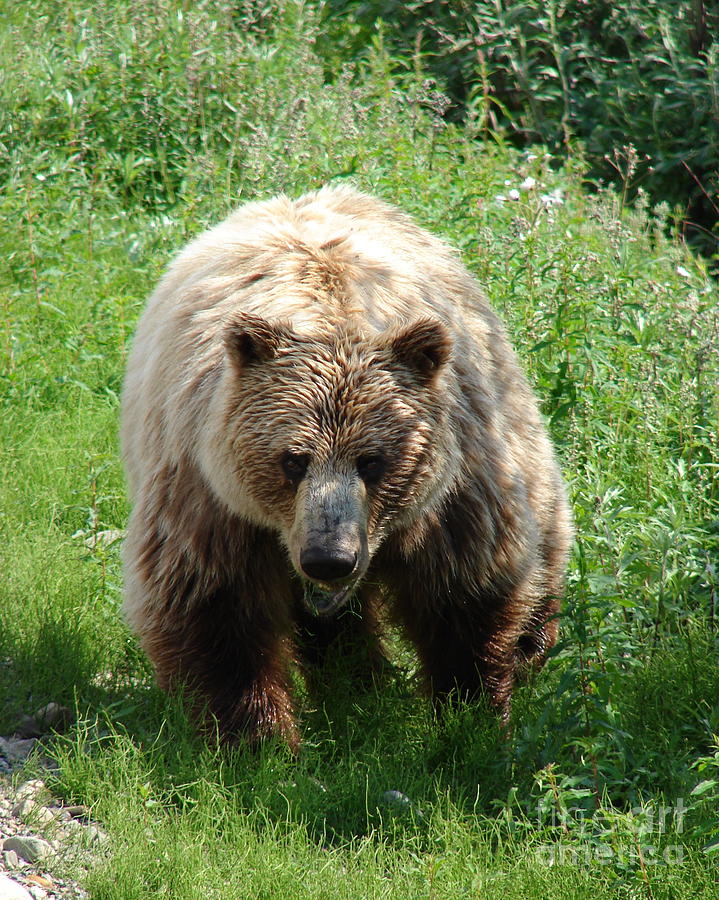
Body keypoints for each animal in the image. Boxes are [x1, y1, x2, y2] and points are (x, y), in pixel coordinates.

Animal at [122, 183, 572, 744]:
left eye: (373, 461)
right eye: (292, 461)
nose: (329, 557)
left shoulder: (453, 492)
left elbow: (466, 595)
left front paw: (472, 715)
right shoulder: (210, 494)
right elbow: (212, 608)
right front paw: (257, 739)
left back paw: (532, 643)